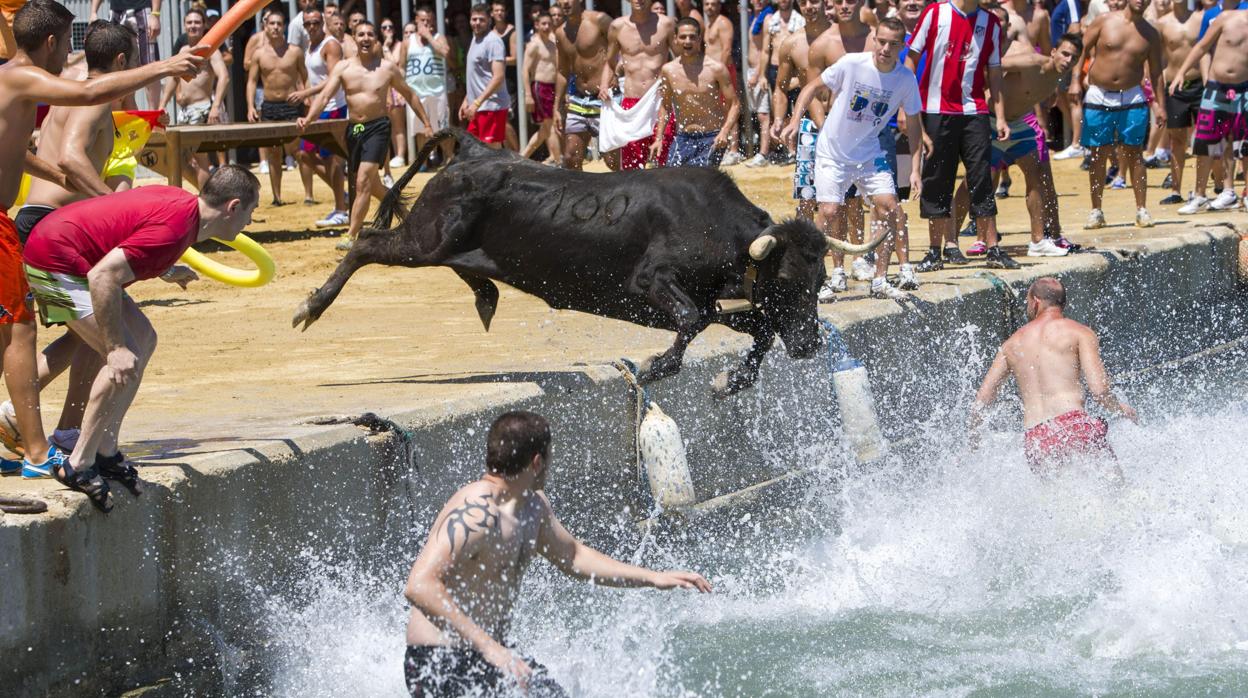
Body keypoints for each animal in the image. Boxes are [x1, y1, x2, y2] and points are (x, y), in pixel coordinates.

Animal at [292, 129, 888, 397]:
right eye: (786, 280)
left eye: (819, 279)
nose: (810, 345)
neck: (716, 225)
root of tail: (471, 151)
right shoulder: (652, 284)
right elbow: (694, 321)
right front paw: (655, 366)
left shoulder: (710, 297)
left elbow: (752, 327)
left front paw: (732, 380)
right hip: (425, 239)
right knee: (365, 243)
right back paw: (310, 307)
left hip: (441, 244)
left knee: (454, 264)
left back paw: (485, 296)